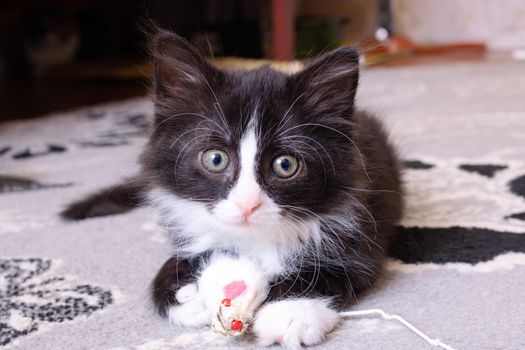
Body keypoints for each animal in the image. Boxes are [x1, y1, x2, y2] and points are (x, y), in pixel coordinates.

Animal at [62, 30, 402, 348]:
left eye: (285, 165)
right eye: (216, 159)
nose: (247, 204)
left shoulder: (361, 231)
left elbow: (330, 273)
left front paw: (289, 311)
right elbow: (175, 259)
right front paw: (185, 295)